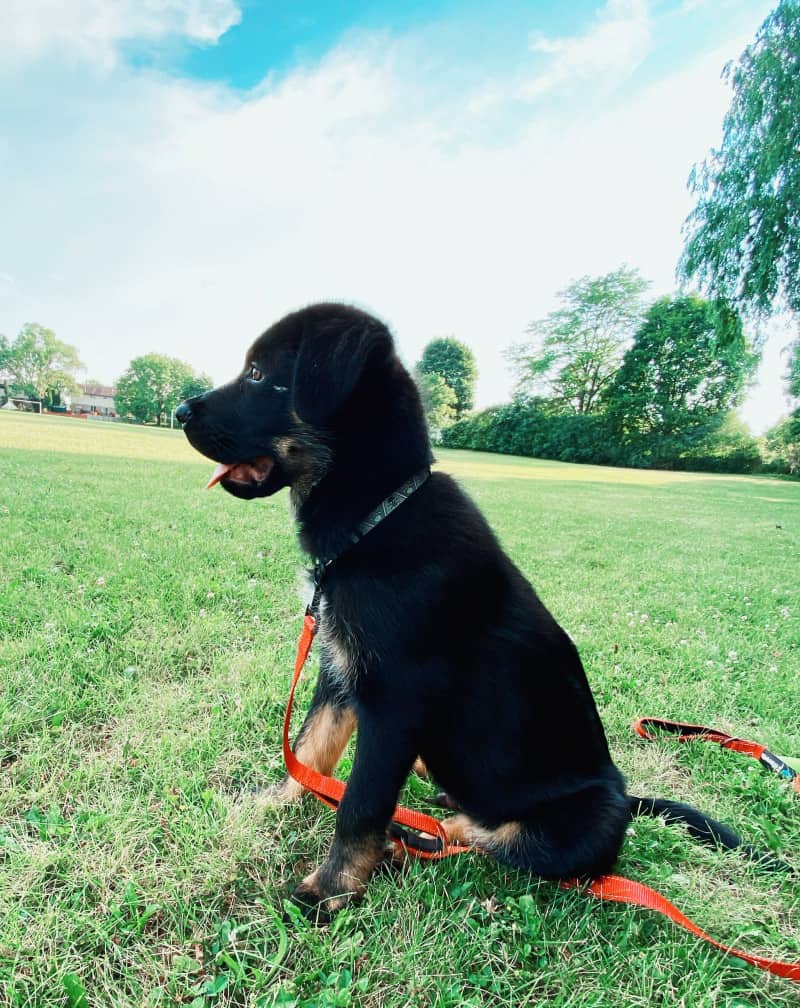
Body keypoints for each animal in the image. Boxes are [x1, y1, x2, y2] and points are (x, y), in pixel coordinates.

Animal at [174, 302, 741, 919]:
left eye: (257, 375)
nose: (177, 411)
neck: (378, 514)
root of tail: (626, 795)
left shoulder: (393, 703)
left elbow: (359, 804)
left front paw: (328, 891)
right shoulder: (340, 673)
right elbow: (310, 749)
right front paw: (270, 804)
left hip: (582, 823)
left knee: (492, 837)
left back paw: (414, 839)